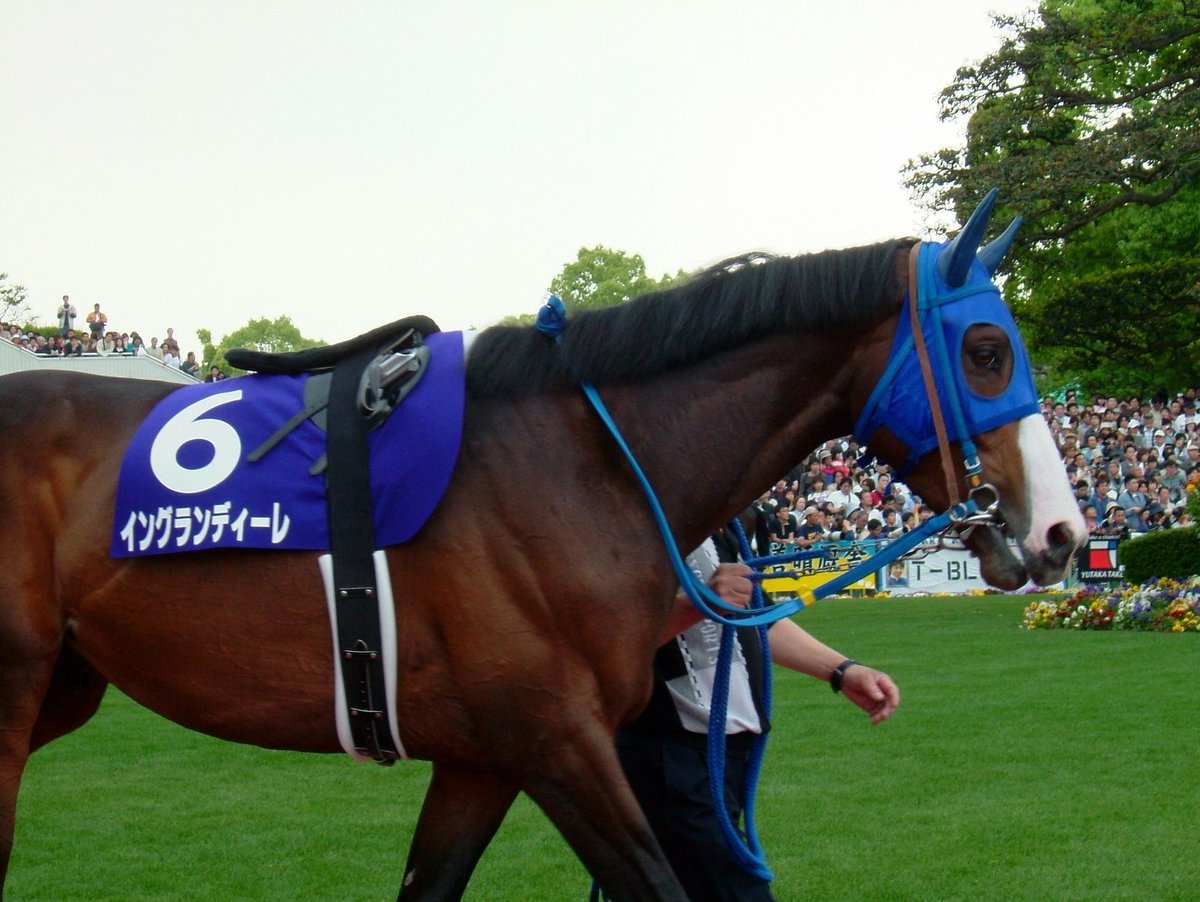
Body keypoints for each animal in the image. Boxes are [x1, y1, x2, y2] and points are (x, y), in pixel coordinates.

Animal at [0, 193, 1085, 900]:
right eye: (987, 351)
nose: (1063, 532)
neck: (580, 461)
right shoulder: (557, 738)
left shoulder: (483, 756)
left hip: (66, 683)